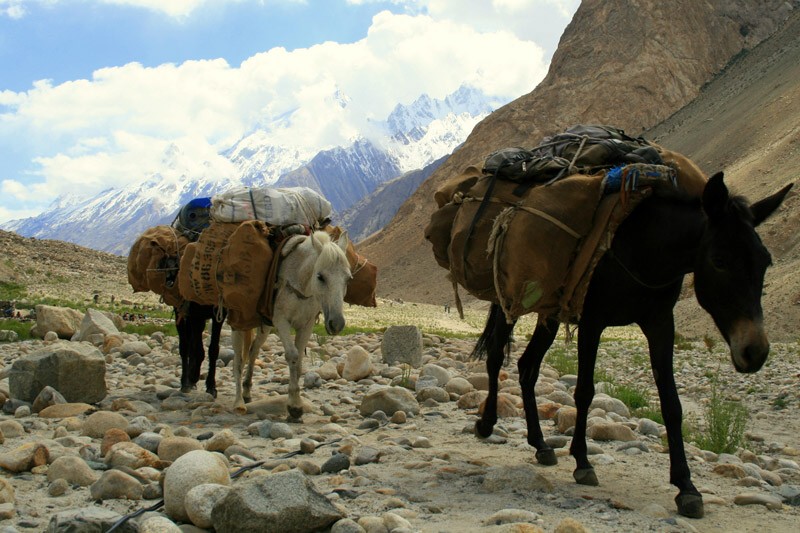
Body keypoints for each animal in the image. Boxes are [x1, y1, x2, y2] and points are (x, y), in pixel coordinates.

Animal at [227, 231, 348, 418]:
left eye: (348, 278)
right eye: (320, 277)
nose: (337, 324)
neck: (298, 283)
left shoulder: (306, 325)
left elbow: (299, 363)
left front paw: (295, 403)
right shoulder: (281, 322)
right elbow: (292, 355)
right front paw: (294, 406)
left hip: (265, 327)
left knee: (253, 350)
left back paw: (247, 392)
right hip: (239, 325)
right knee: (238, 360)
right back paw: (239, 402)